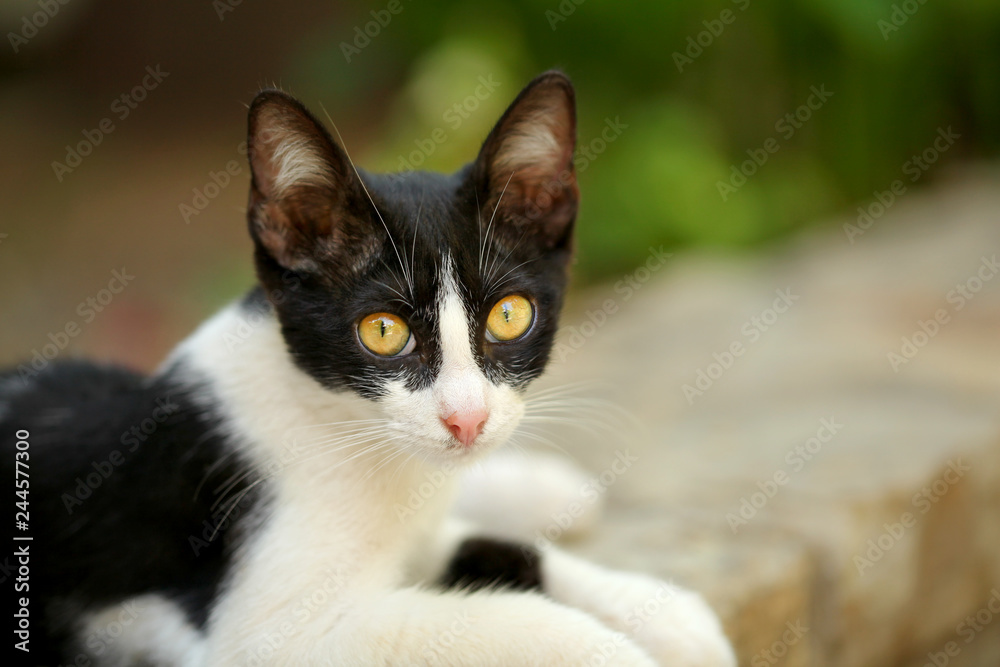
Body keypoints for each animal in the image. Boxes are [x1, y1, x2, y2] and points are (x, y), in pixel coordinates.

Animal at [0, 70, 736, 664]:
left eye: (509, 316)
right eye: (383, 332)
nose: (467, 420)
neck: (345, 428)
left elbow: (489, 549)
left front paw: (658, 609)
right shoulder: (263, 635)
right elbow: (473, 617)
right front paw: (611, 649)